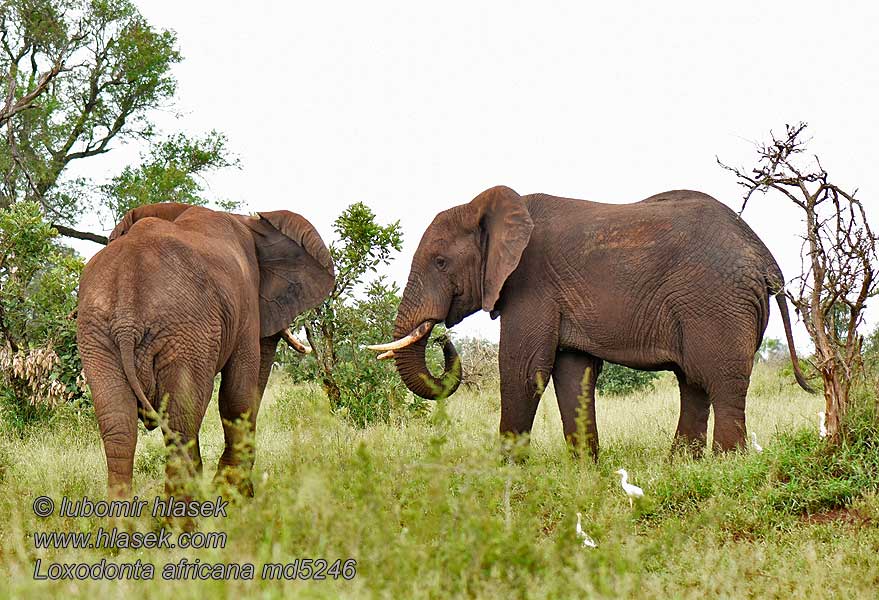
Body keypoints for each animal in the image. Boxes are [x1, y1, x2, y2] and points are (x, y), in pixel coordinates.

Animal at [79, 204, 336, 500]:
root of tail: (126, 316)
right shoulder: (246, 306)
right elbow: (237, 394)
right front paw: (233, 495)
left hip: (98, 335)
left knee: (119, 427)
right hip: (184, 332)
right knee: (181, 423)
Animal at [366, 185, 812, 458]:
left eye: (441, 262)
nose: (443, 338)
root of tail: (766, 258)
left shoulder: (531, 283)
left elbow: (523, 369)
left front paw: (505, 470)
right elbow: (573, 374)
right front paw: (585, 469)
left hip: (716, 301)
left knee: (720, 380)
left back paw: (725, 463)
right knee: (694, 383)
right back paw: (681, 465)